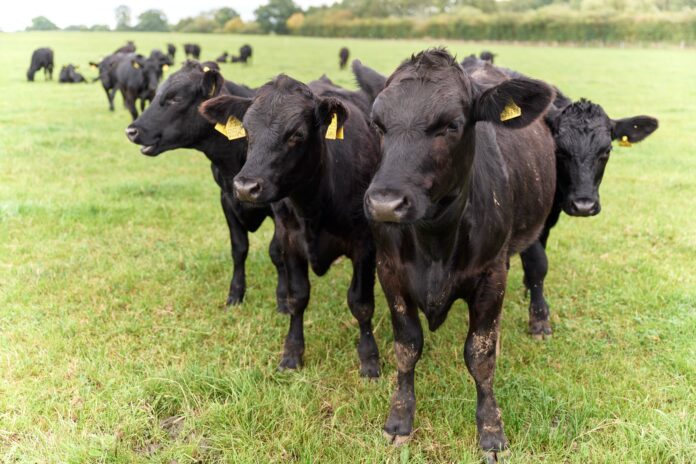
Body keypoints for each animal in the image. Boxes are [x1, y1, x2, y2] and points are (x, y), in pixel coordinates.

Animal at [125, 61, 282, 308]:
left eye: (176, 98)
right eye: (157, 93)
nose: (131, 131)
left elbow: (277, 252)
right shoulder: (227, 200)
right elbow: (239, 248)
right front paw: (235, 295)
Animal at [199, 74, 382, 377]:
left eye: (296, 134)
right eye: (246, 130)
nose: (246, 187)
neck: (314, 206)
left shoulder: (365, 244)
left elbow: (361, 303)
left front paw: (369, 358)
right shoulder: (289, 241)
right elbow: (297, 298)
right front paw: (292, 353)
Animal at [362, 49, 556, 456]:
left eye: (451, 125)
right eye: (377, 124)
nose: (386, 203)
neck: (435, 242)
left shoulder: (491, 276)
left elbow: (480, 355)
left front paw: (491, 429)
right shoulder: (389, 272)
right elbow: (407, 346)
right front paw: (399, 418)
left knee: (536, 270)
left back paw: (539, 321)